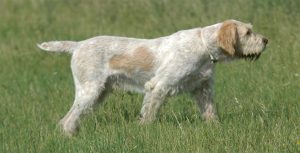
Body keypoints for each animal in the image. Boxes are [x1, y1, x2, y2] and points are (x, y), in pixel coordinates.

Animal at [38, 19, 270, 135]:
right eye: (248, 33)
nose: (266, 40)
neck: (204, 46)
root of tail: (78, 45)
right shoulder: (158, 87)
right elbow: (148, 115)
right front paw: (142, 131)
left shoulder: (203, 89)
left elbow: (211, 113)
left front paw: (216, 129)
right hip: (90, 91)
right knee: (67, 120)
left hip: (99, 93)